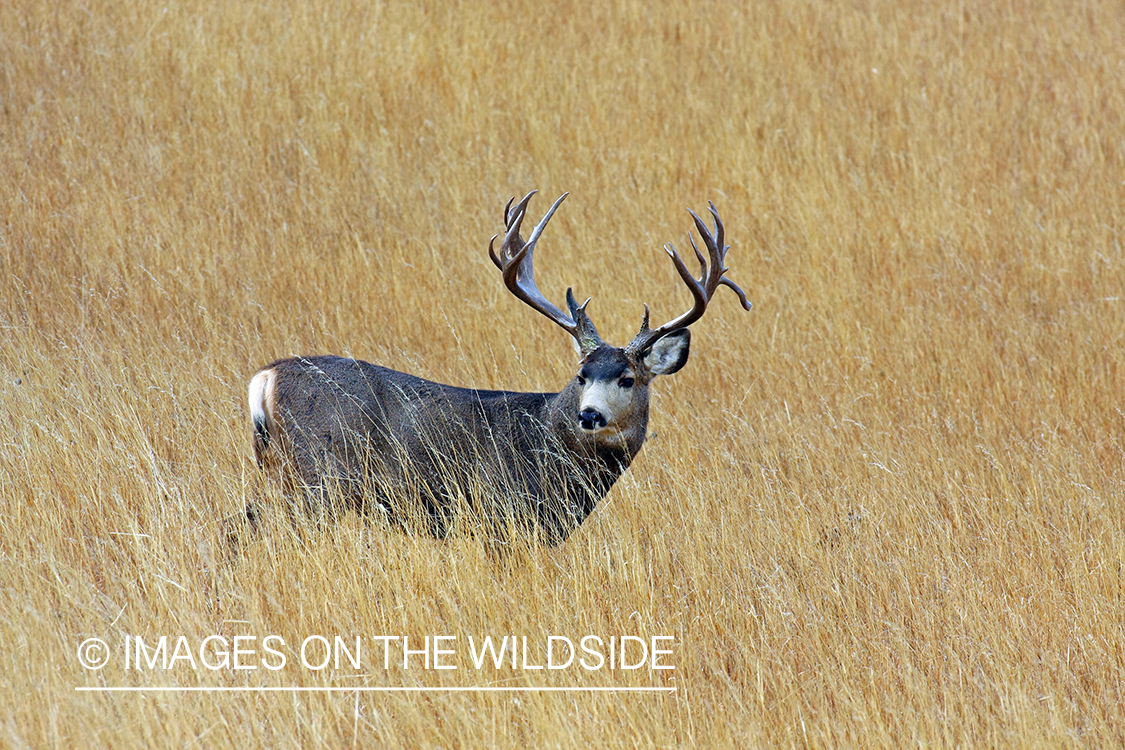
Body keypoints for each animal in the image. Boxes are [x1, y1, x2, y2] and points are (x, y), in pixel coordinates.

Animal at [241, 192, 751, 546]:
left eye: (627, 378)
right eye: (581, 375)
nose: (589, 415)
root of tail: (266, 377)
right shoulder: (504, 516)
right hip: (319, 477)